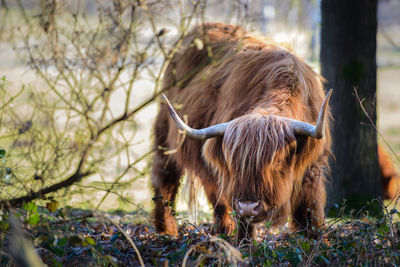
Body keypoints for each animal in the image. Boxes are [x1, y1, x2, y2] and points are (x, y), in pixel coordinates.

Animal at [150, 22, 332, 241]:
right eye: (234, 163)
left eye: (278, 161)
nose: (248, 207)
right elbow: (242, 221)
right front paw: (244, 244)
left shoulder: (313, 169)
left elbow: (310, 211)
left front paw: (316, 240)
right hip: (165, 134)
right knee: (165, 178)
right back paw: (167, 231)